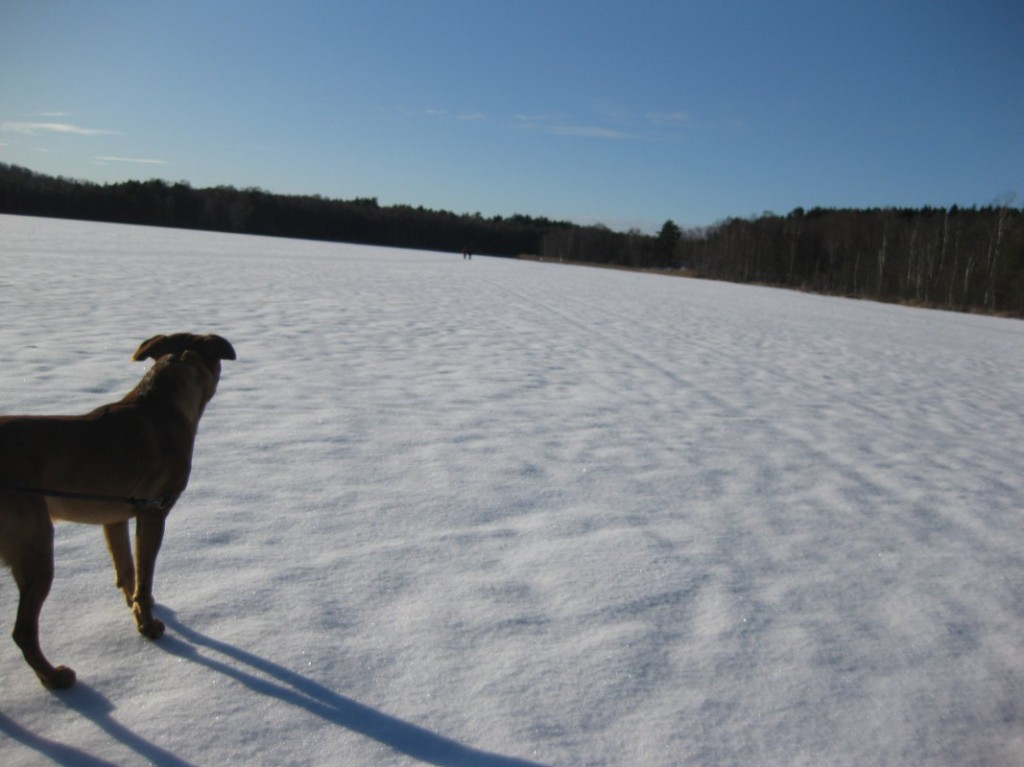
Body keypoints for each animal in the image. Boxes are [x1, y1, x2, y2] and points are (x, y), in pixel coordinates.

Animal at [0, 333, 234, 688]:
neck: (163, 405)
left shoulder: (113, 518)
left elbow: (126, 570)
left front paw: (137, 609)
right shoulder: (153, 514)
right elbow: (145, 575)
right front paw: (148, 627)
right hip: (36, 547)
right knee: (23, 631)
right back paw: (54, 678)